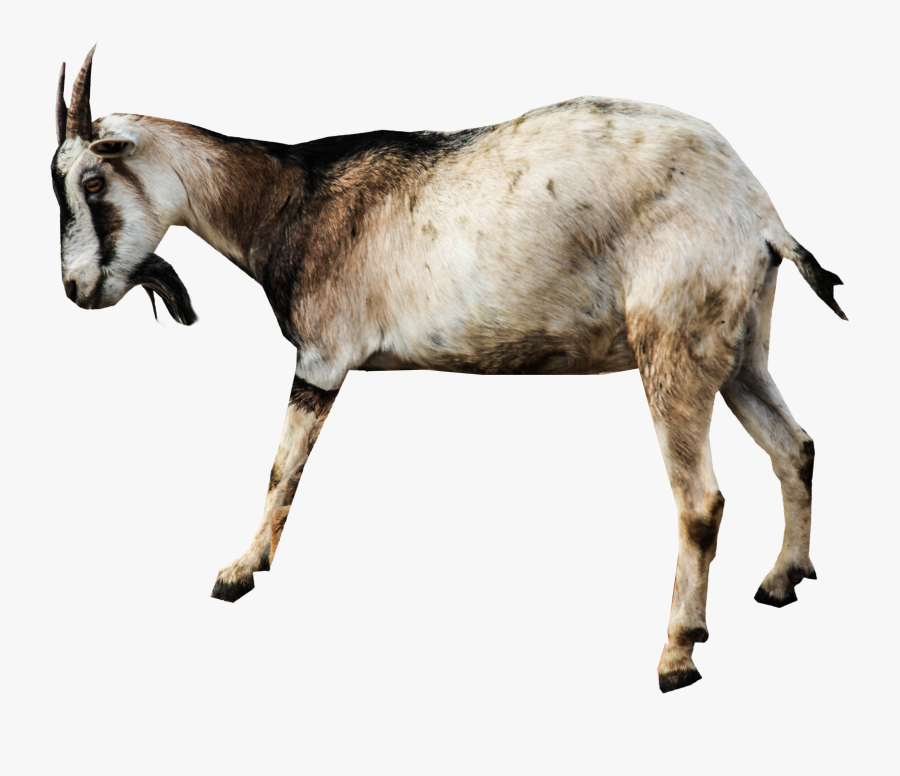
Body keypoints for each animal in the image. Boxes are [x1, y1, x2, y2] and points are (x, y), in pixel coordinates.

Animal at [52, 47, 846, 693]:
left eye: (91, 181)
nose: (77, 289)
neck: (292, 196)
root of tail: (758, 211)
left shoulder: (322, 357)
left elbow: (281, 471)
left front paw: (238, 572)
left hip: (673, 347)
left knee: (701, 500)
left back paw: (678, 654)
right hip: (741, 350)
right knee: (795, 445)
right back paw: (783, 580)